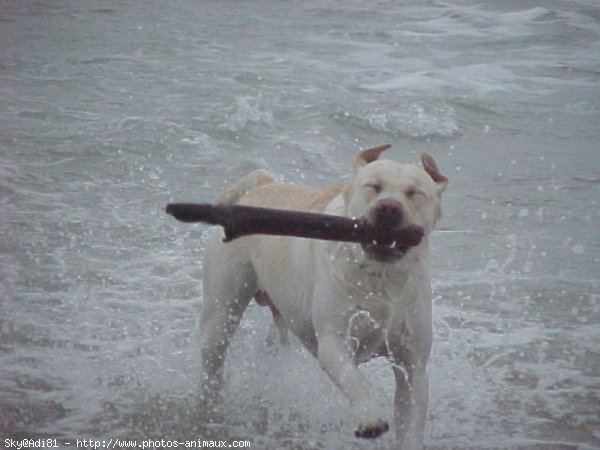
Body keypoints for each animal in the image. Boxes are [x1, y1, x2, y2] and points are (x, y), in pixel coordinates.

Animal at [199, 145, 448, 446]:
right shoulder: (333, 341)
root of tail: (263, 184)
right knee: (214, 354)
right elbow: (355, 380)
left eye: (414, 193)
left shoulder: (413, 365)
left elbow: (411, 418)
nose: (389, 207)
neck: (380, 276)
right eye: (373, 186)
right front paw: (370, 418)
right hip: (222, 309)